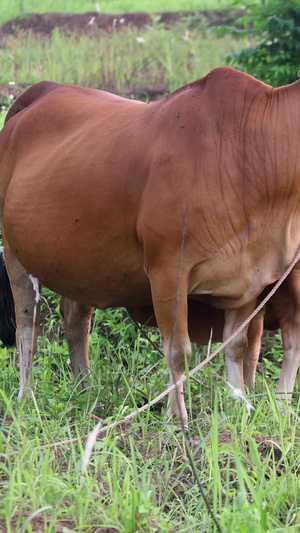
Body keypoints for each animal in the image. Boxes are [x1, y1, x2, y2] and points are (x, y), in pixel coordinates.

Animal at [0, 67, 300, 424]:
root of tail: (40, 91)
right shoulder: (168, 269)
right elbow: (178, 350)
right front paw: (177, 416)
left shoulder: (249, 278)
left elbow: (237, 345)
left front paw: (238, 404)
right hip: (14, 251)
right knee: (27, 328)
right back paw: (25, 397)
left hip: (75, 259)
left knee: (75, 318)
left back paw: (85, 388)